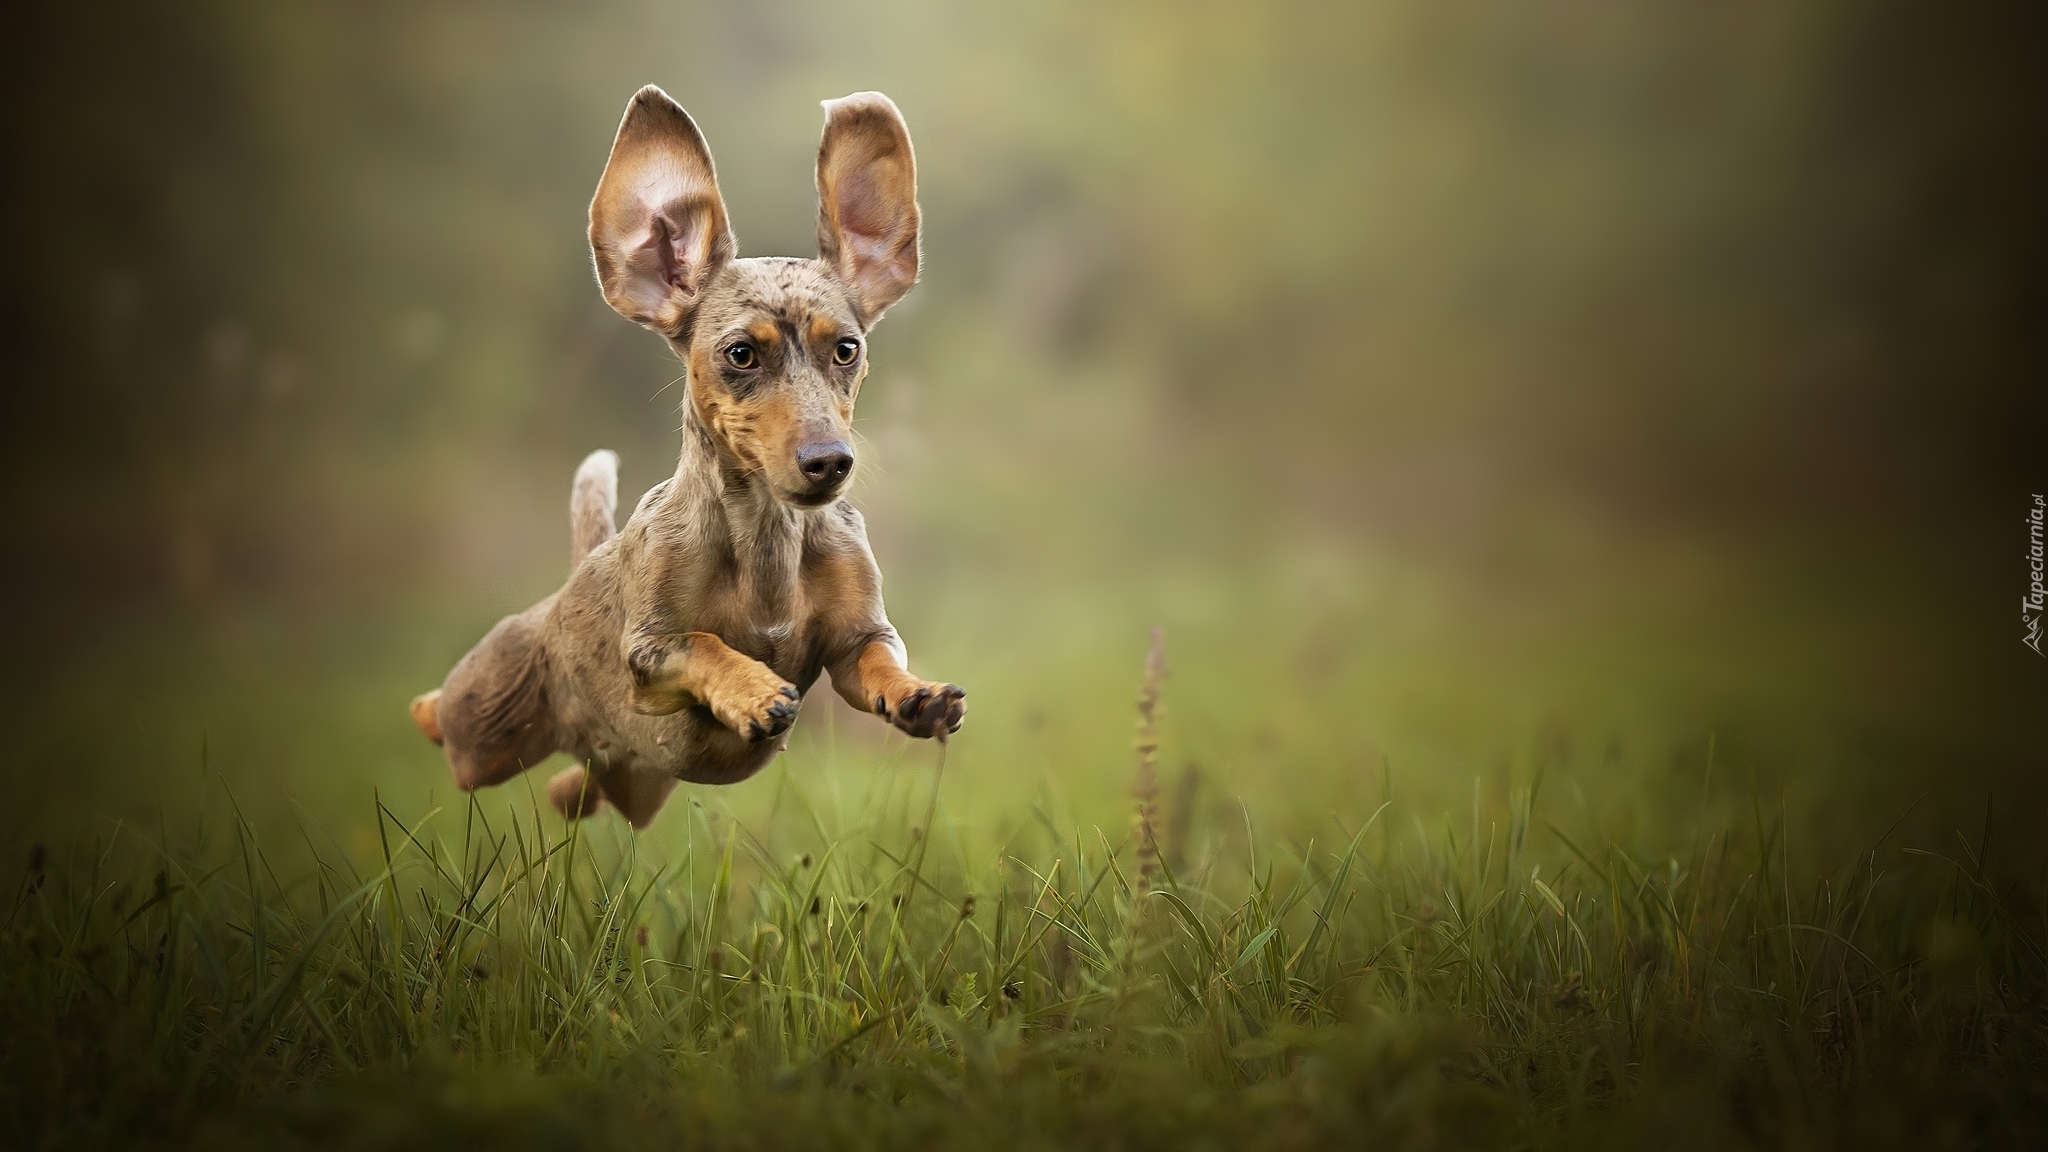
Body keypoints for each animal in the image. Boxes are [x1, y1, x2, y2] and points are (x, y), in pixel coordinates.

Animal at [411, 89, 970, 824]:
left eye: (847, 348)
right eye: (741, 354)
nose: (830, 461)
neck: (765, 538)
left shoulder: (856, 641)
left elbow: (876, 661)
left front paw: (916, 695)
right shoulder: (648, 652)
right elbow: (701, 644)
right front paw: (754, 690)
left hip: (622, 782)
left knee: (571, 790)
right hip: (485, 725)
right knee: (441, 723)